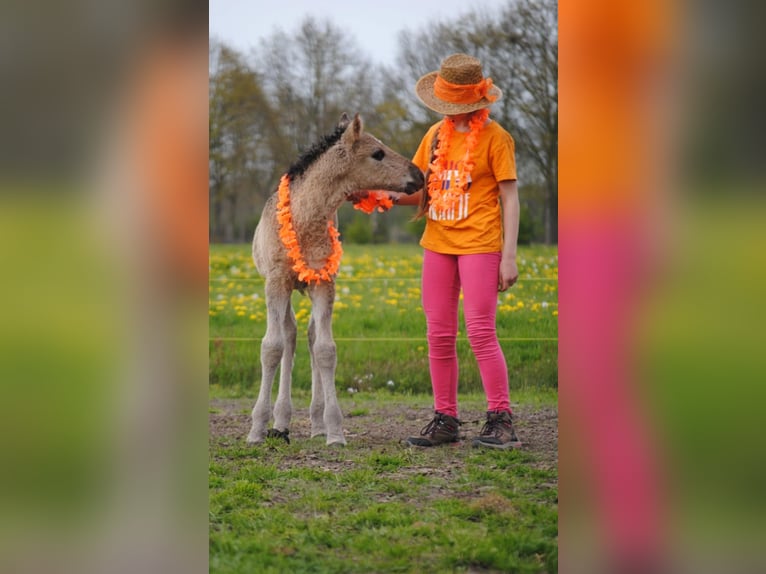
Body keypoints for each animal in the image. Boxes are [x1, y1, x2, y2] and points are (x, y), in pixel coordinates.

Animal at [247, 113, 424, 446]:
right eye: (377, 153)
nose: (419, 175)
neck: (305, 219)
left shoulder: (324, 283)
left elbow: (326, 350)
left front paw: (335, 431)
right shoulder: (275, 282)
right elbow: (271, 347)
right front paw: (256, 429)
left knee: (309, 335)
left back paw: (315, 424)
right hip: (287, 288)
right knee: (289, 335)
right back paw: (281, 422)